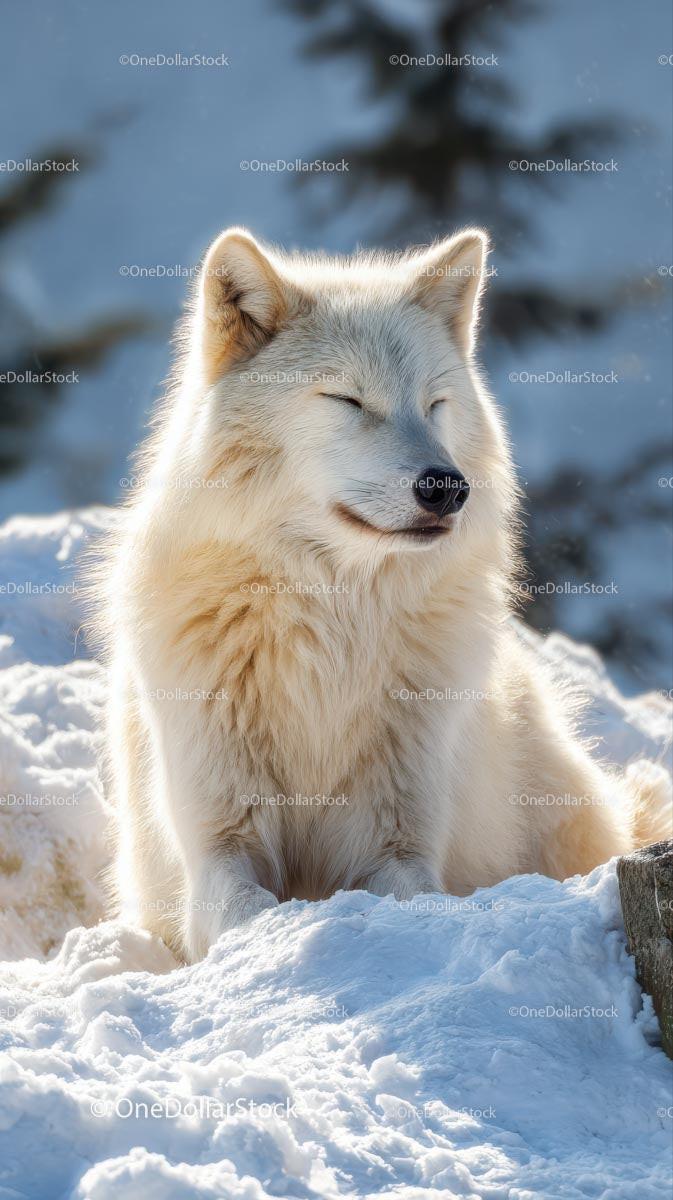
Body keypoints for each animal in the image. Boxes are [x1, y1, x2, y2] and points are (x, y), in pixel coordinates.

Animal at [93, 226, 672, 963]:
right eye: (348, 400)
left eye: (434, 404)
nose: (446, 488)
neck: (330, 619)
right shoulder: (220, 845)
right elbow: (244, 916)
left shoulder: (398, 845)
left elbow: (414, 898)